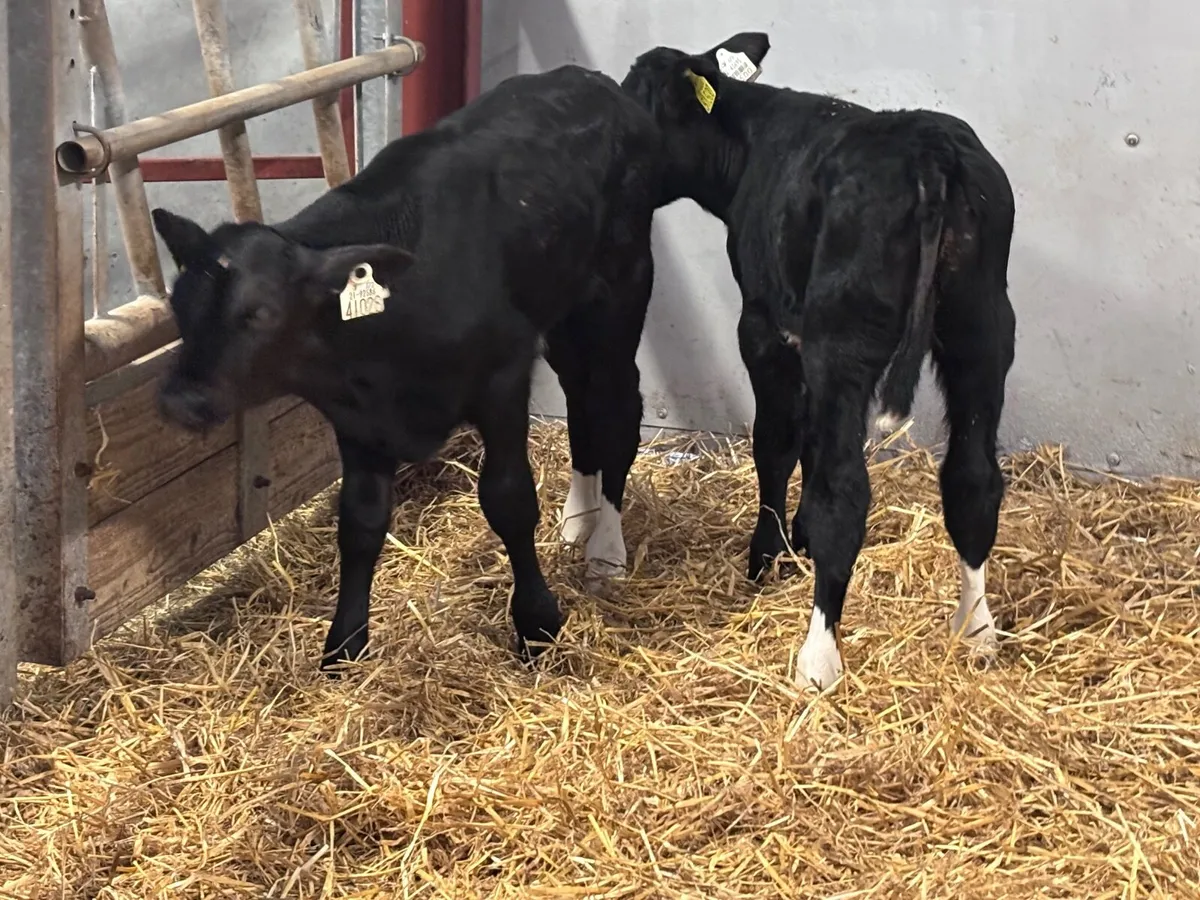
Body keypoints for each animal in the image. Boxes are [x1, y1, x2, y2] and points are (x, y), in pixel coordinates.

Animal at [149, 64, 663, 671]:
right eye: (178, 305)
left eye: (260, 312)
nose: (181, 399)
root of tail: (588, 77)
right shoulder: (357, 418)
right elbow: (360, 522)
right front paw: (344, 645)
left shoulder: (503, 376)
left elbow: (509, 500)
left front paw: (537, 625)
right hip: (562, 315)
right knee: (582, 402)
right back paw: (577, 522)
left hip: (619, 291)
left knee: (616, 405)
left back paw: (606, 550)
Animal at [621, 33, 1017, 689]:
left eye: (637, 104)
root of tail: (929, 148)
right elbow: (806, 439)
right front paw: (796, 538)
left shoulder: (766, 324)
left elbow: (777, 443)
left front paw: (770, 554)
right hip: (981, 330)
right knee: (973, 480)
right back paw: (976, 630)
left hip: (846, 340)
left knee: (847, 492)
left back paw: (817, 659)